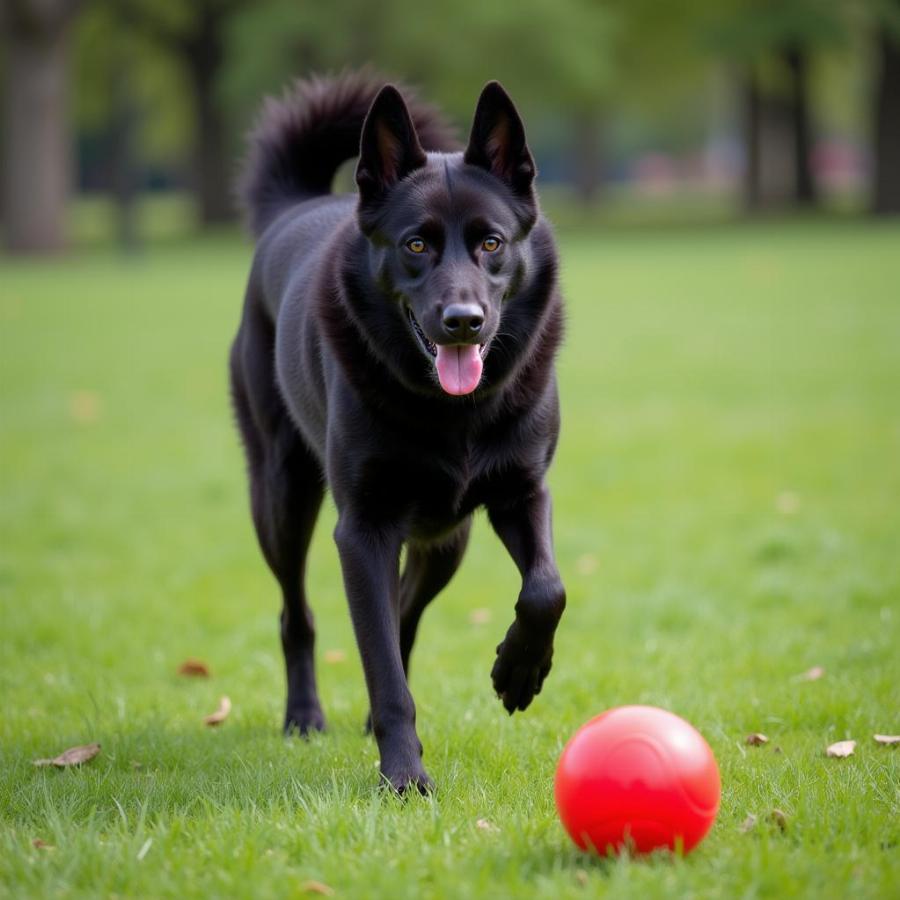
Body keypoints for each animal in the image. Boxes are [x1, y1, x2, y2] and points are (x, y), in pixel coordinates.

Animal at [236, 74, 568, 792]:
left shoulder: (523, 494)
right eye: (415, 245)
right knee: (298, 614)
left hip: (448, 539)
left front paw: (518, 671)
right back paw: (304, 716)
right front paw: (403, 777)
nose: (463, 320)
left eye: (492, 243)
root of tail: (295, 208)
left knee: (407, 612)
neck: (452, 412)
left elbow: (546, 589)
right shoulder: (362, 530)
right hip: (282, 497)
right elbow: (383, 669)